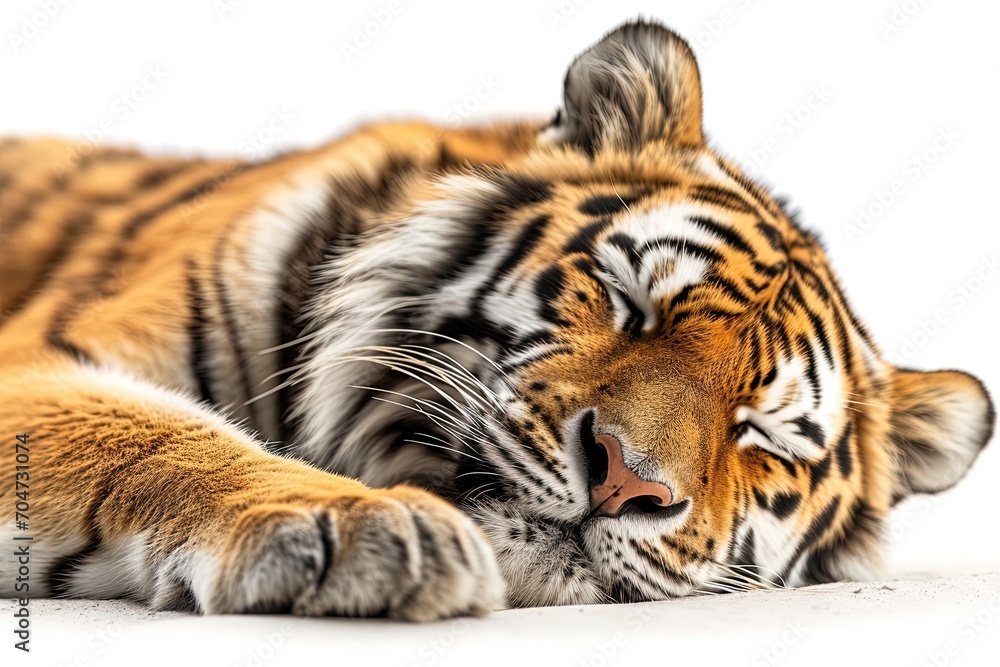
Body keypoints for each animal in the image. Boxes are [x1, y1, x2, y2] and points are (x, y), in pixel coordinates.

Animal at [0, 20, 993, 620]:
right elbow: (152, 430)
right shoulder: (44, 362)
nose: (624, 481)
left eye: (762, 434)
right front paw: (354, 525)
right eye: (631, 302)